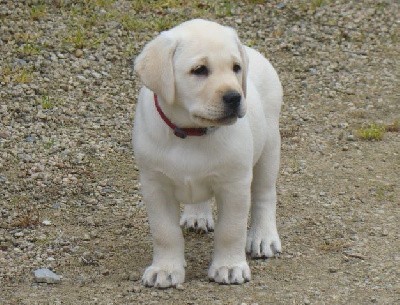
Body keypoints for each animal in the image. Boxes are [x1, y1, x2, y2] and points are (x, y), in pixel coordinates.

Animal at [134, 19, 282, 288]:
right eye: (199, 70)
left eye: (236, 68)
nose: (235, 97)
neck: (192, 133)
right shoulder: (155, 185)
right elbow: (164, 232)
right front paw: (165, 269)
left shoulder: (234, 185)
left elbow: (231, 230)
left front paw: (230, 267)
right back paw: (197, 215)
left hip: (270, 148)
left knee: (264, 195)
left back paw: (263, 237)